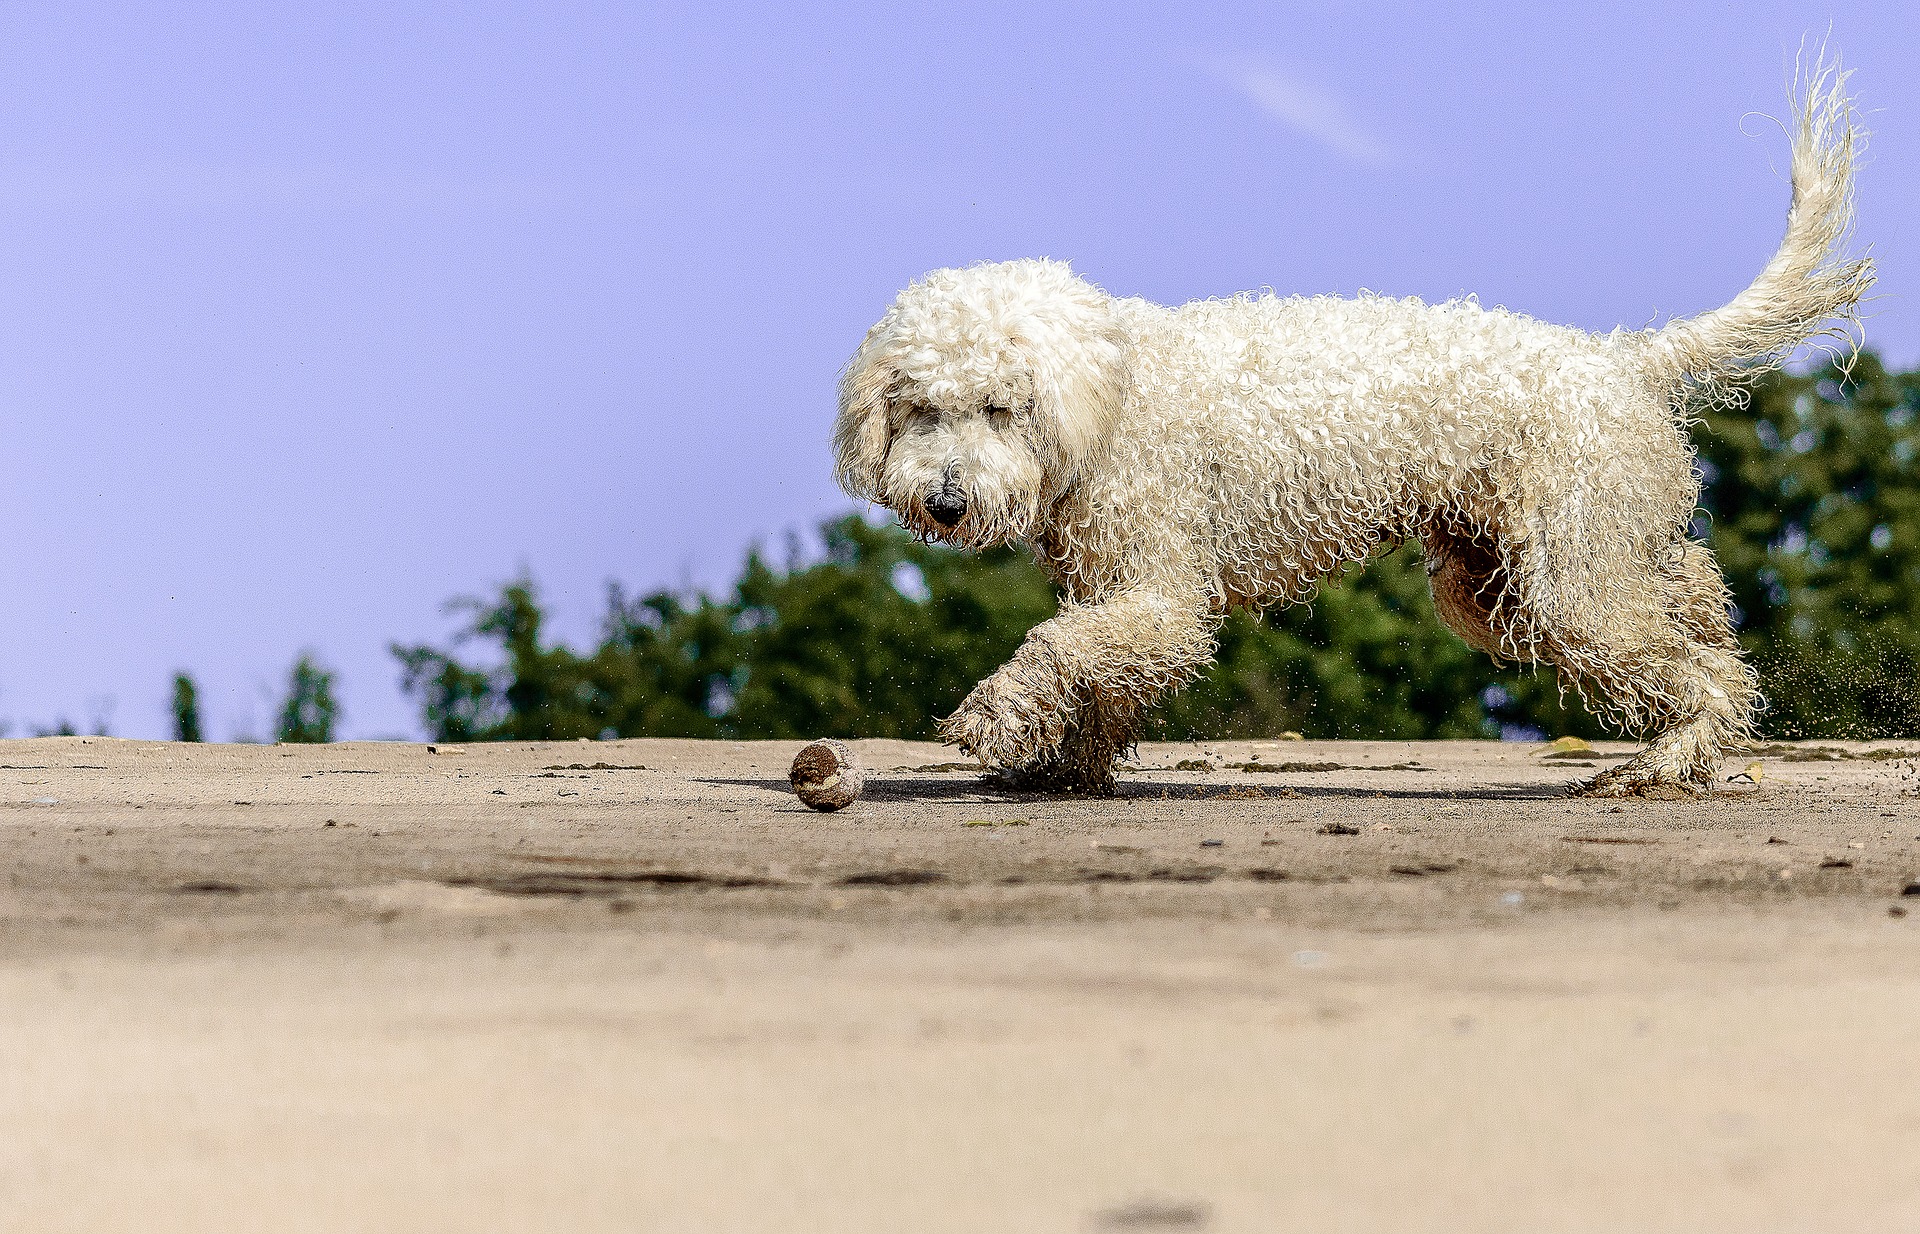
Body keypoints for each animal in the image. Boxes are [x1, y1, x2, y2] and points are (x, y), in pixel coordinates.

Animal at [833, 65, 1866, 802]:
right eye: (918, 408)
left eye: (997, 407)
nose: (944, 501)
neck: (1110, 393)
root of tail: (1625, 359)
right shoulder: (1119, 588)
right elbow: (1099, 671)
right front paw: (1062, 765)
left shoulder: (1158, 586)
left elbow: (1061, 649)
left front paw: (991, 718)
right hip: (1509, 578)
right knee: (1690, 594)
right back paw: (1703, 666)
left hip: (1569, 581)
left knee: (1691, 666)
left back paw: (1671, 761)